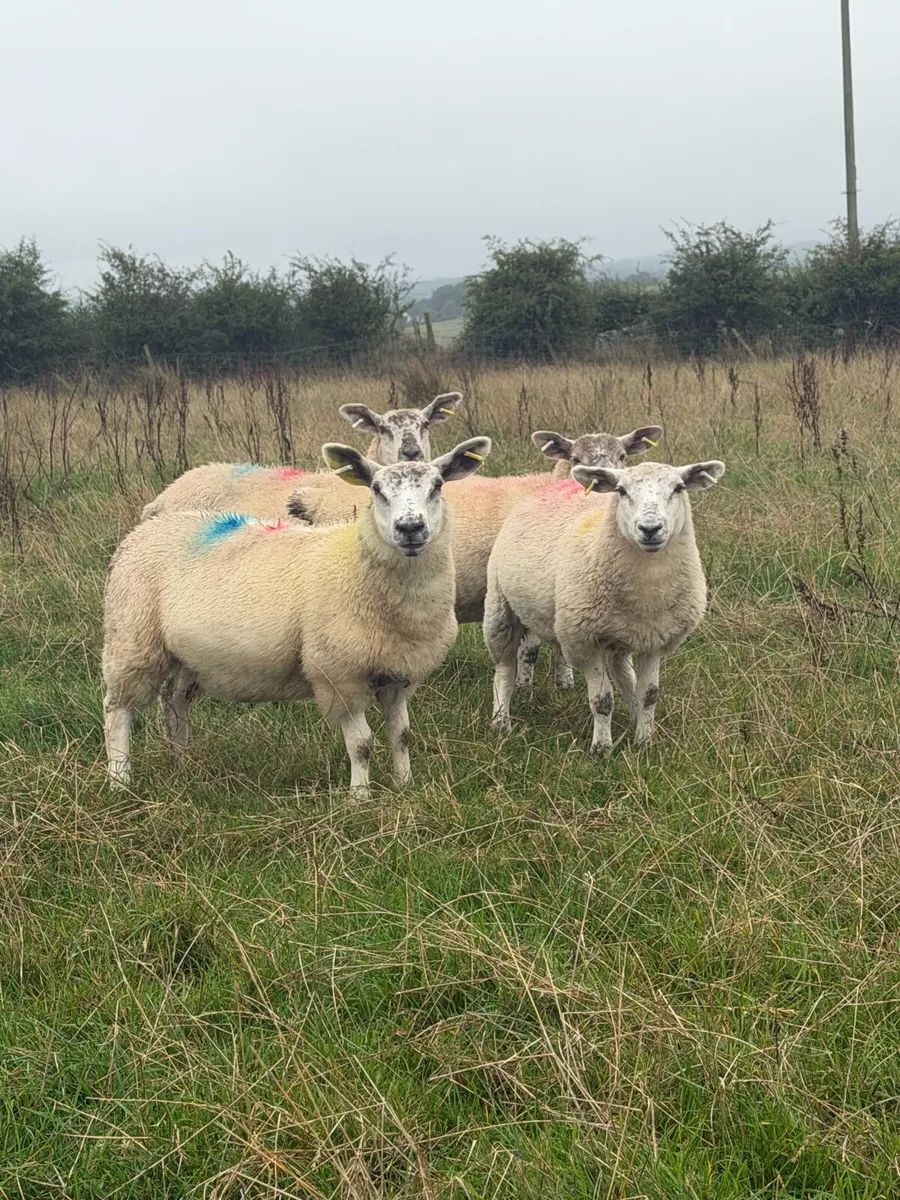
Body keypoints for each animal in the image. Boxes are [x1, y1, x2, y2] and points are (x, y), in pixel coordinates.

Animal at [102, 435, 491, 796]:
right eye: (377, 490)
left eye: (437, 486)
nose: (410, 528)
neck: (355, 567)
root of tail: (146, 527)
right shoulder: (339, 675)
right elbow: (362, 744)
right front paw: (360, 797)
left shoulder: (398, 674)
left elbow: (402, 735)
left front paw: (404, 785)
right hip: (132, 638)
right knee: (117, 711)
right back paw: (120, 781)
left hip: (184, 654)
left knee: (174, 701)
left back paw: (182, 762)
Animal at [484, 458, 725, 753]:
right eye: (621, 491)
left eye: (679, 488)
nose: (650, 529)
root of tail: (555, 485)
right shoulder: (586, 641)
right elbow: (602, 700)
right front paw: (601, 748)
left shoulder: (655, 640)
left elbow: (649, 696)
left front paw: (645, 741)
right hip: (500, 608)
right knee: (504, 668)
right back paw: (500, 721)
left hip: (621, 633)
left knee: (623, 671)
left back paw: (633, 712)